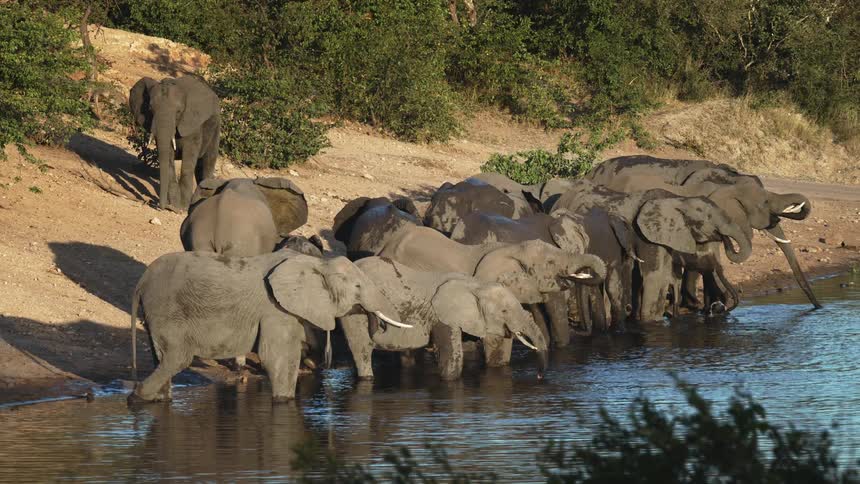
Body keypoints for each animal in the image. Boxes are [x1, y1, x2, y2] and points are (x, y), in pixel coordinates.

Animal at [128, 251, 404, 404]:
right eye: (357, 287)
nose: (377, 325)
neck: (317, 262)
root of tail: (141, 282)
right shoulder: (275, 309)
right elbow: (277, 357)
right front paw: (283, 401)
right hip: (167, 308)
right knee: (178, 357)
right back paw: (137, 396)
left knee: (162, 356)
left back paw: (156, 399)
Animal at [129, 75, 220, 211]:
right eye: (150, 109)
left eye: (178, 112)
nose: (161, 207)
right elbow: (168, 156)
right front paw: (174, 206)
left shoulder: (192, 123)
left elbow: (188, 159)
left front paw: (182, 208)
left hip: (216, 127)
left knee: (208, 161)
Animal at [339, 257, 548, 381]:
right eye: (504, 311)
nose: (538, 376)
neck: (474, 285)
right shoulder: (442, 316)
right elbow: (452, 358)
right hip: (352, 311)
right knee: (362, 350)